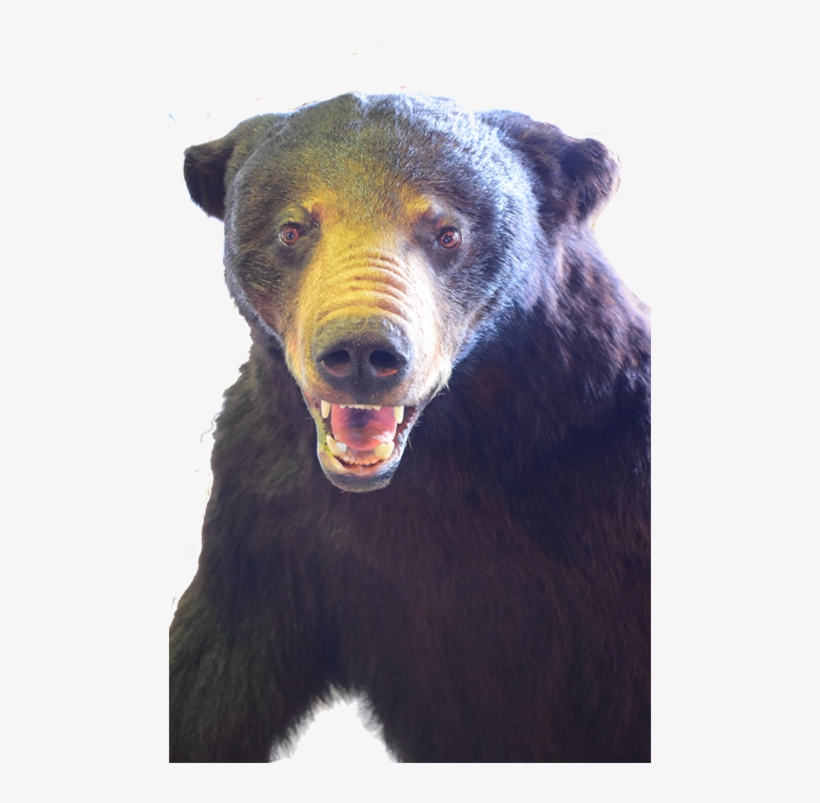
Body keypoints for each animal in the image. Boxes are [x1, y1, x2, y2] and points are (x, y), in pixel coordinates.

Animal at [170, 93, 651, 763]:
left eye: (446, 232)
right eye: (293, 229)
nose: (361, 352)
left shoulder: (610, 491)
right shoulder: (265, 513)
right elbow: (209, 675)